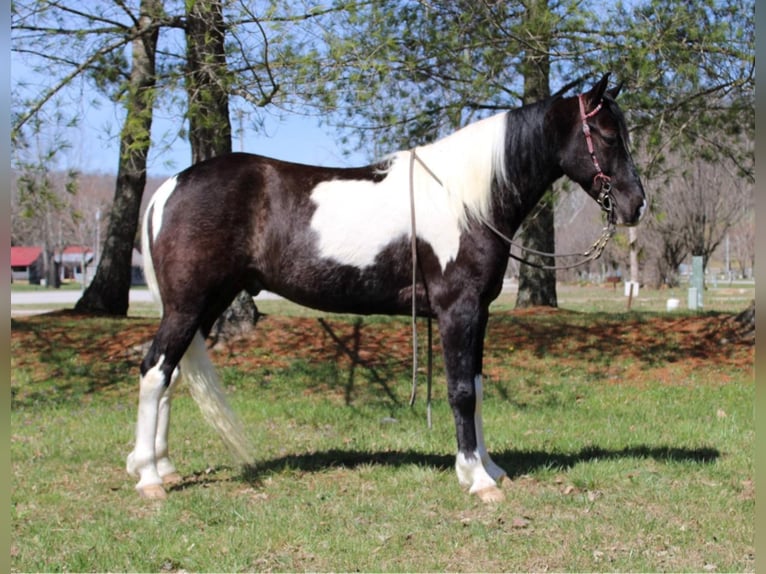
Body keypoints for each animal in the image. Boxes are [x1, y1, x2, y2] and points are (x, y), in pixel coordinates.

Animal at [126, 73, 648, 504]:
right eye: (606, 135)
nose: (636, 205)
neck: (466, 200)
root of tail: (171, 185)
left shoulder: (479, 312)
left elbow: (478, 386)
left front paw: (490, 467)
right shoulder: (457, 310)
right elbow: (462, 391)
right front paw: (476, 479)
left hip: (205, 307)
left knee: (172, 374)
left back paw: (164, 467)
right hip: (187, 306)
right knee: (154, 371)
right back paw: (150, 479)